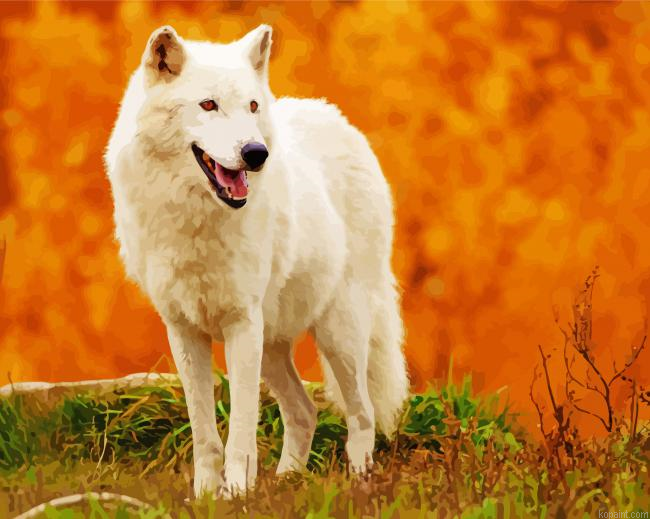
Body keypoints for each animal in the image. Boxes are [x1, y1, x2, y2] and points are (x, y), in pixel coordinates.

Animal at [105, 24, 408, 498]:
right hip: (274, 345)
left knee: (363, 414)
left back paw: (359, 482)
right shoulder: (184, 332)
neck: (197, 221)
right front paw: (206, 496)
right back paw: (287, 483)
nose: (255, 153)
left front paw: (237, 494)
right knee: (304, 411)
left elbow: (241, 429)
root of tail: (338, 118)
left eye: (251, 106)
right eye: (208, 104)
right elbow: (204, 432)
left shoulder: (241, 325)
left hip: (338, 332)